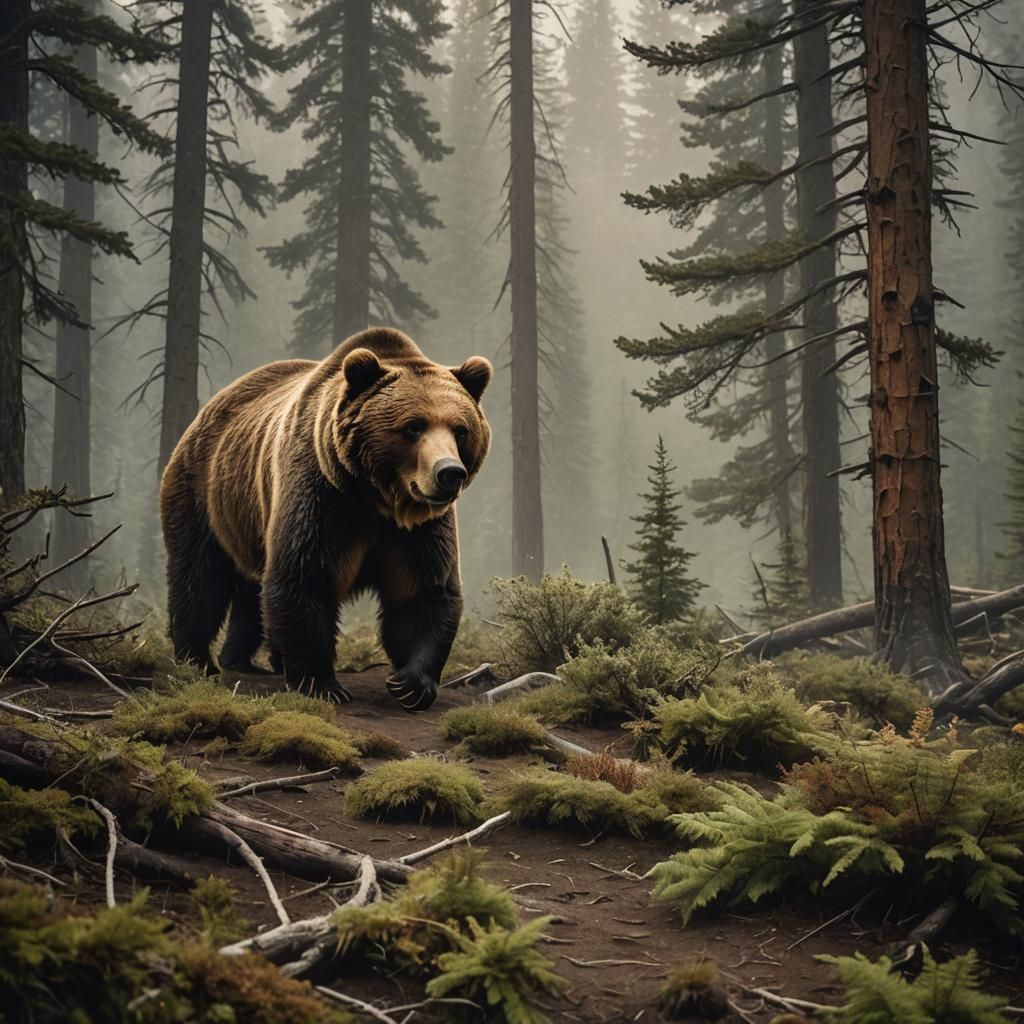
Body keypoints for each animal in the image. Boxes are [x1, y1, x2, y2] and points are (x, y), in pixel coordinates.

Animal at [159, 327, 492, 711]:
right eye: (413, 427)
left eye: (460, 429)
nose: (449, 473)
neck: (377, 499)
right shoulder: (323, 499)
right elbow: (305, 578)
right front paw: (323, 684)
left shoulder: (417, 530)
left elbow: (422, 590)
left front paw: (410, 683)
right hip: (204, 495)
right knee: (199, 578)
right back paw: (197, 660)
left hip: (249, 521)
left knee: (251, 591)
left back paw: (245, 660)